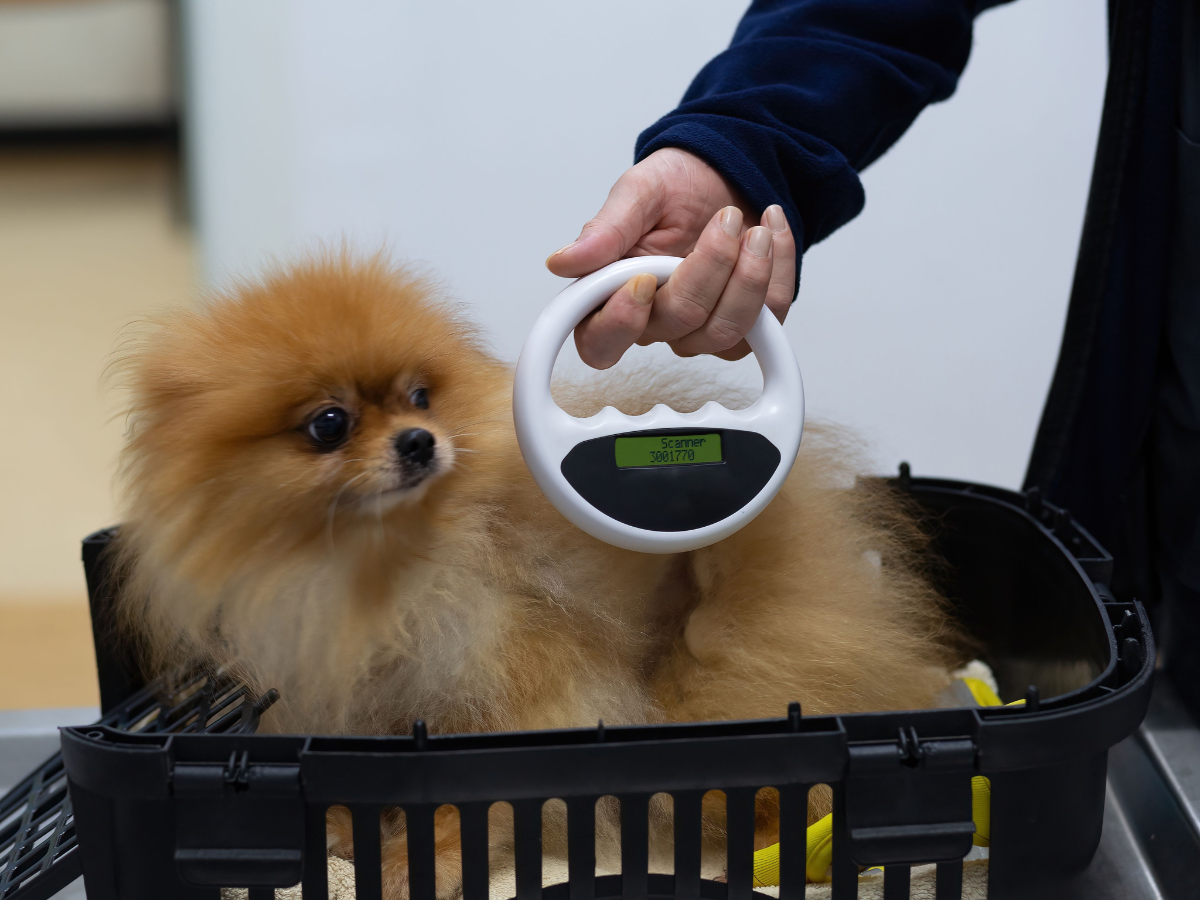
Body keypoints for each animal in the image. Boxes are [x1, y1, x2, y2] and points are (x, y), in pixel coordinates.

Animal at [112, 252, 955, 897]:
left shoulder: (512, 678)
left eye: (420, 397)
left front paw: (422, 862)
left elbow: (460, 799)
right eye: (329, 424)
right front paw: (351, 836)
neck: (381, 568)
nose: (420, 441)